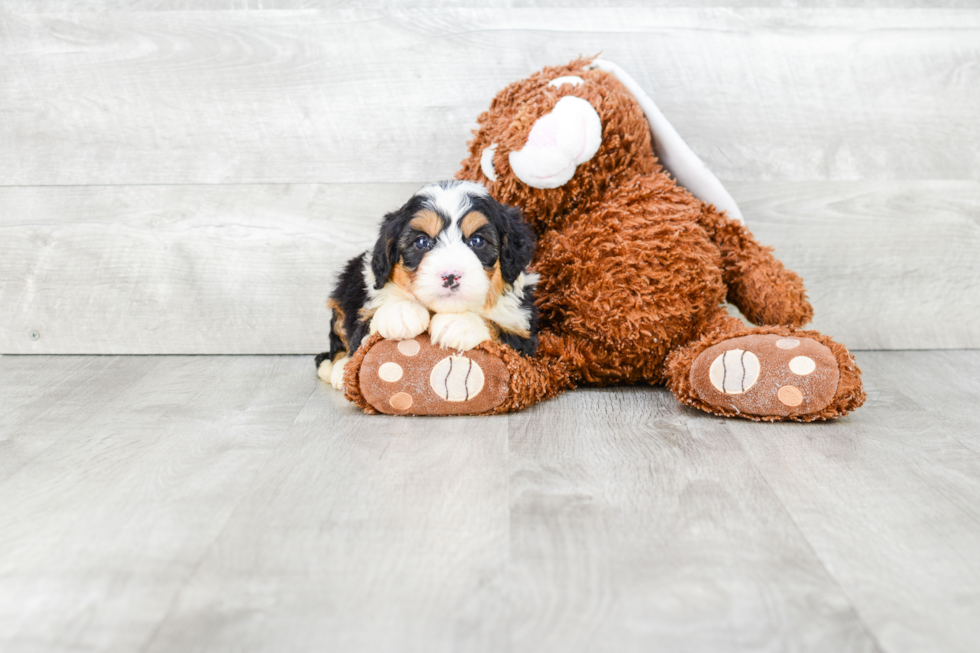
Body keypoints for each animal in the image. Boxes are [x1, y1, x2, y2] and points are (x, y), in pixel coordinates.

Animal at [318, 178, 540, 388]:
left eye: (477, 241)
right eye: (422, 242)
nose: (450, 276)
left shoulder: (524, 337)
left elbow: (501, 330)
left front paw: (460, 324)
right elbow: (362, 334)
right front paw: (400, 312)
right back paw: (336, 370)